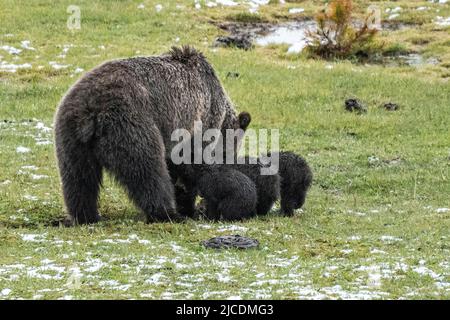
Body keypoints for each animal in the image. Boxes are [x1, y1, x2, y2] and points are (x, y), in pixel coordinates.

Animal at [54, 45, 251, 225]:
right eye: (227, 153)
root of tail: (90, 110)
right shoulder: (196, 123)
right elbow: (189, 168)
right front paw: (188, 207)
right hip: (132, 122)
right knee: (148, 171)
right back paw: (167, 214)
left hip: (70, 136)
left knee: (79, 178)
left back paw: (86, 216)